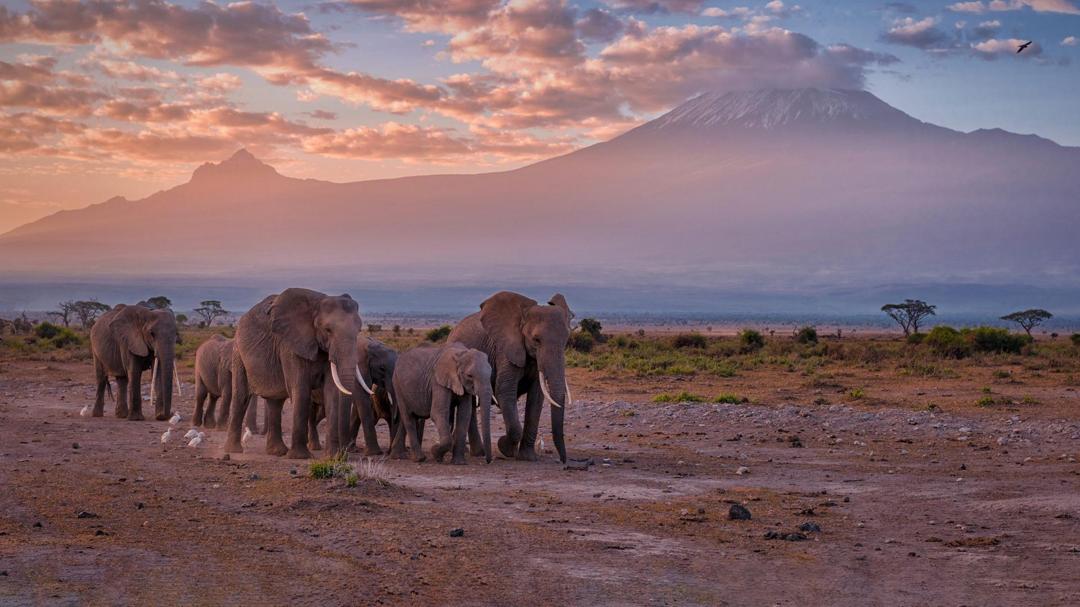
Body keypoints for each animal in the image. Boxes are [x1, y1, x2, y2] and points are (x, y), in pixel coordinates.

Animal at [221, 287, 369, 457]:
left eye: (359, 330)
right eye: (328, 330)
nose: (344, 452)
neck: (317, 304)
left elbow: (331, 392)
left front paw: (333, 456)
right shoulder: (290, 346)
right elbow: (301, 389)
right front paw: (300, 457)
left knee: (275, 402)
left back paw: (277, 452)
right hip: (238, 352)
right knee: (241, 396)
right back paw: (234, 450)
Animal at [447, 291, 574, 460]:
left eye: (566, 340)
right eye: (536, 340)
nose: (563, 460)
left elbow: (536, 398)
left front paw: (528, 458)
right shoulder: (505, 350)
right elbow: (505, 391)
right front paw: (505, 448)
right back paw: (479, 453)